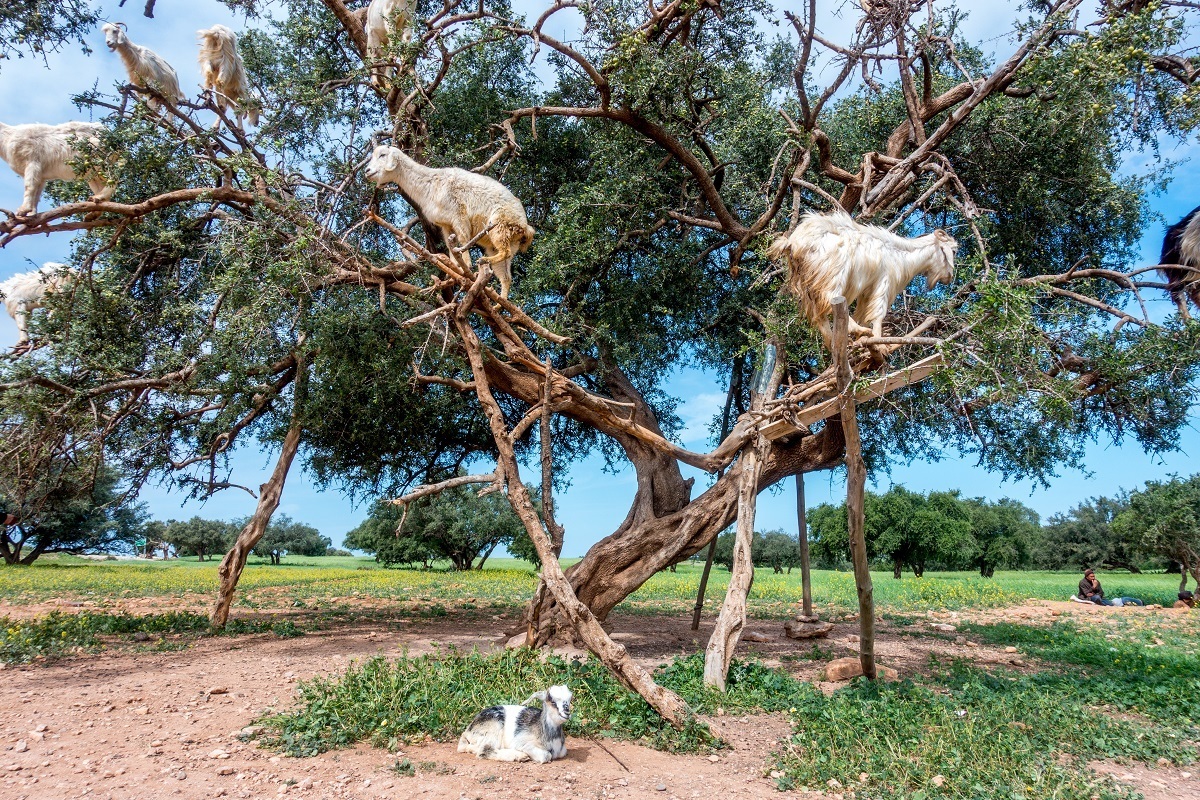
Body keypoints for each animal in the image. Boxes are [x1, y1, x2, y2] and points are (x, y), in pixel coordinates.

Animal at [362, 143, 537, 297]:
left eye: (383, 155)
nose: (367, 171)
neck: (431, 183)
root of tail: (526, 228)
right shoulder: (446, 225)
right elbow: (449, 246)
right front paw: (453, 271)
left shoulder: (458, 215)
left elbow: (464, 242)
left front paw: (466, 267)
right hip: (505, 241)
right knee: (506, 274)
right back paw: (499, 304)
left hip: (499, 223)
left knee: (505, 252)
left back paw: (483, 261)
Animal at [768, 211, 955, 345]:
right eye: (952, 251)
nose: (949, 277)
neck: (900, 254)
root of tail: (793, 243)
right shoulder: (884, 282)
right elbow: (878, 314)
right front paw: (878, 342)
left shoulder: (866, 292)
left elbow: (864, 314)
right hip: (833, 273)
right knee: (830, 298)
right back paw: (857, 331)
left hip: (808, 281)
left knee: (819, 315)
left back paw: (833, 344)